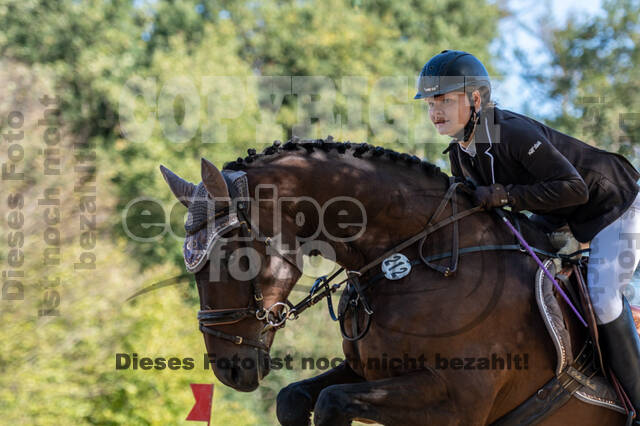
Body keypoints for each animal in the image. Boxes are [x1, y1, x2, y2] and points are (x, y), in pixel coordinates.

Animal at [160, 138, 632, 424]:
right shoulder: (366, 370)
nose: (229, 370)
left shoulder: (456, 401)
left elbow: (332, 402)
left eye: (234, 257)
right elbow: (293, 398)